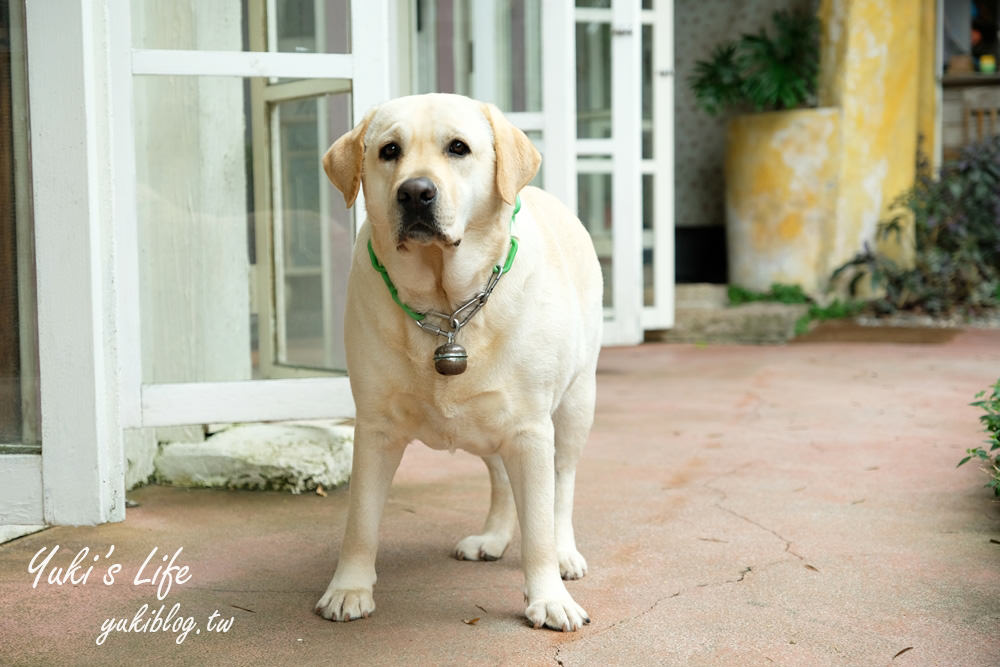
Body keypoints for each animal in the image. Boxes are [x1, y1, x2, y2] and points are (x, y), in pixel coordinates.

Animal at [318, 92, 600, 632]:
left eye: (458, 148)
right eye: (389, 150)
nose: (415, 193)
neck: (446, 307)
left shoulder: (531, 428)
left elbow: (539, 522)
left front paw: (548, 597)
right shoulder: (375, 426)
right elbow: (360, 521)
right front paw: (348, 589)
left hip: (576, 403)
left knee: (563, 485)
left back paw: (565, 553)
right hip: (485, 422)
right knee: (501, 477)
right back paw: (493, 537)